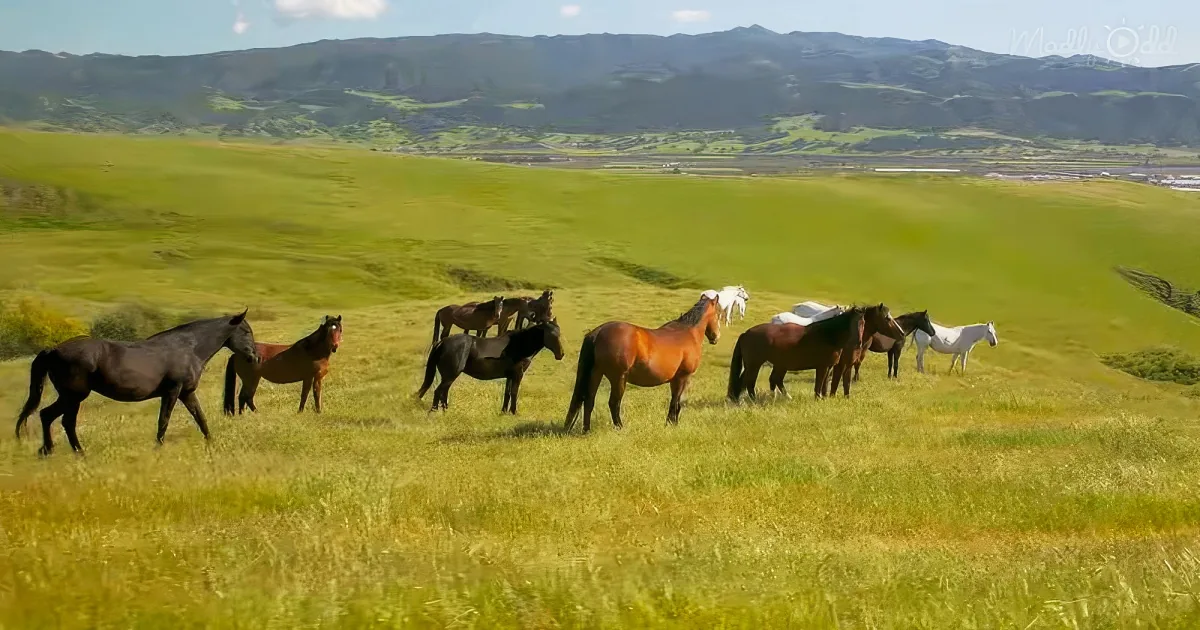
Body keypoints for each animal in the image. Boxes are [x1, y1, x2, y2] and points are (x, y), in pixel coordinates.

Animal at [15, 311, 258, 455]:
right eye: (246, 331)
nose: (255, 357)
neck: (189, 348)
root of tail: (53, 350)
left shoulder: (187, 392)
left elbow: (200, 417)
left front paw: (211, 442)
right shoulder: (173, 391)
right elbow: (164, 420)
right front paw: (158, 448)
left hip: (70, 397)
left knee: (50, 417)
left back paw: (50, 451)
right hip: (73, 396)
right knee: (60, 419)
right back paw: (75, 452)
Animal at [418, 319, 565, 414]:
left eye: (559, 333)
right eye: (551, 335)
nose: (561, 354)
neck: (520, 344)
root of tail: (442, 342)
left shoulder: (510, 375)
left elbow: (507, 392)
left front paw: (504, 411)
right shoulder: (518, 374)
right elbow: (514, 392)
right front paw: (514, 412)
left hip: (449, 376)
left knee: (444, 391)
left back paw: (445, 410)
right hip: (450, 375)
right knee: (438, 391)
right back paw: (434, 411)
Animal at [564, 296, 721, 432]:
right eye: (718, 314)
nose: (716, 337)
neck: (688, 332)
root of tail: (598, 332)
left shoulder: (675, 379)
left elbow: (674, 401)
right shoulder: (683, 377)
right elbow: (676, 402)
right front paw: (671, 424)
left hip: (596, 373)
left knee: (589, 400)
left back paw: (586, 430)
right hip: (619, 378)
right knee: (613, 403)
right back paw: (620, 428)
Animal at [728, 303, 902, 401]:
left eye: (863, 323)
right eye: (887, 318)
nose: (901, 333)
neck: (829, 335)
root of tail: (746, 333)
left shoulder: (835, 366)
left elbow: (832, 384)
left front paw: (830, 399)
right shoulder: (826, 366)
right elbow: (823, 384)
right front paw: (822, 399)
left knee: (765, 380)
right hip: (755, 365)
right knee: (749, 382)